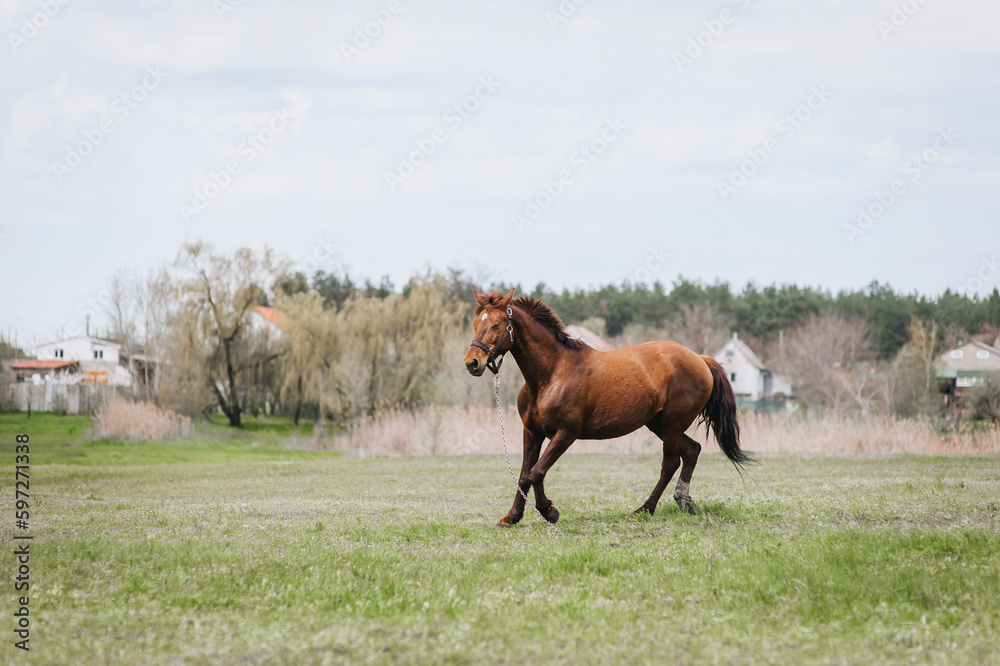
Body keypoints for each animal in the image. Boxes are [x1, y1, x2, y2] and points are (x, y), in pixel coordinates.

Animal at [464, 288, 752, 528]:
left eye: (496, 324)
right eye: (476, 324)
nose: (472, 363)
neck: (552, 373)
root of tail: (700, 359)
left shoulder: (565, 434)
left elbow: (536, 473)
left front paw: (549, 511)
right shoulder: (532, 433)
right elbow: (524, 475)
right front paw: (511, 517)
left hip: (672, 424)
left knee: (670, 463)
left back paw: (645, 509)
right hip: (659, 424)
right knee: (692, 450)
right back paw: (683, 501)